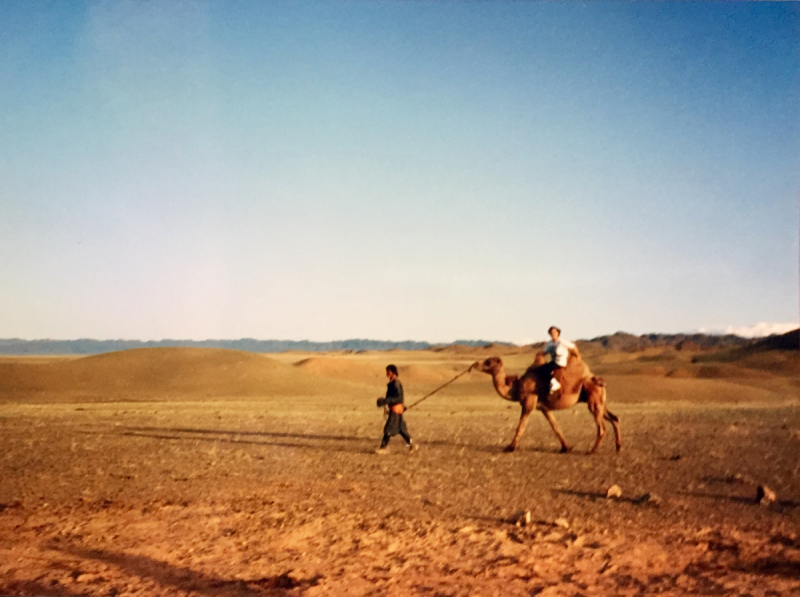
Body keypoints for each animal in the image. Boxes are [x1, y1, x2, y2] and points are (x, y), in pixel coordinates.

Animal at [472, 352, 620, 454]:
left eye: (488, 362)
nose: (474, 364)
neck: (516, 387)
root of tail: (598, 380)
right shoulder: (545, 408)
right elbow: (556, 427)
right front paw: (565, 448)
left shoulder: (528, 403)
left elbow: (520, 427)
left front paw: (509, 447)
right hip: (599, 400)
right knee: (614, 418)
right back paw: (618, 447)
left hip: (593, 397)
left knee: (602, 427)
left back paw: (592, 451)